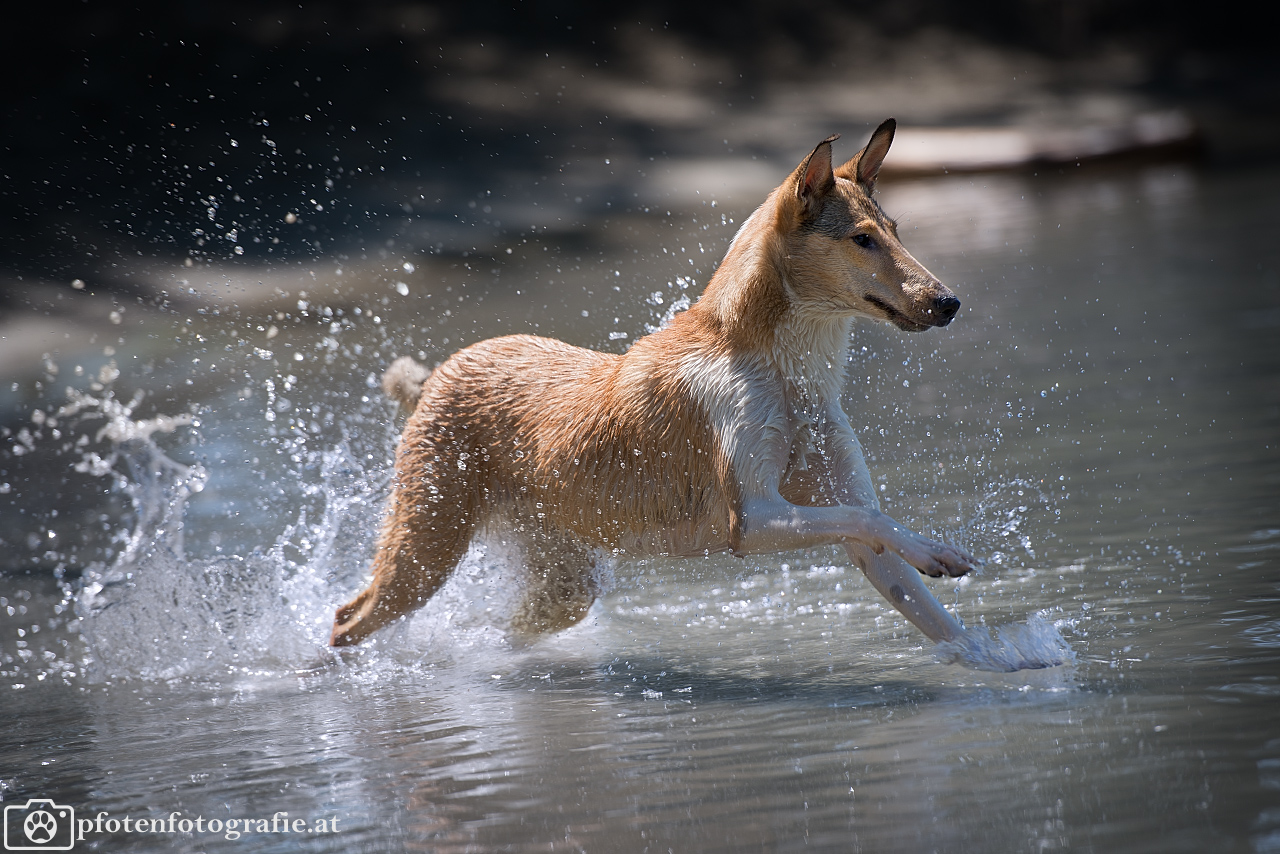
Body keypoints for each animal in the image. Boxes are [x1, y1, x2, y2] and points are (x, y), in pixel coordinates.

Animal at [332, 120, 977, 650]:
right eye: (862, 239)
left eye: (896, 231)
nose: (949, 302)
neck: (781, 370)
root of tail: (439, 372)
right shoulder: (752, 518)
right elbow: (873, 521)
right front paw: (939, 551)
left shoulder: (844, 520)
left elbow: (930, 605)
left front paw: (995, 658)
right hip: (425, 551)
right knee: (346, 619)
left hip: (564, 583)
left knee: (501, 629)